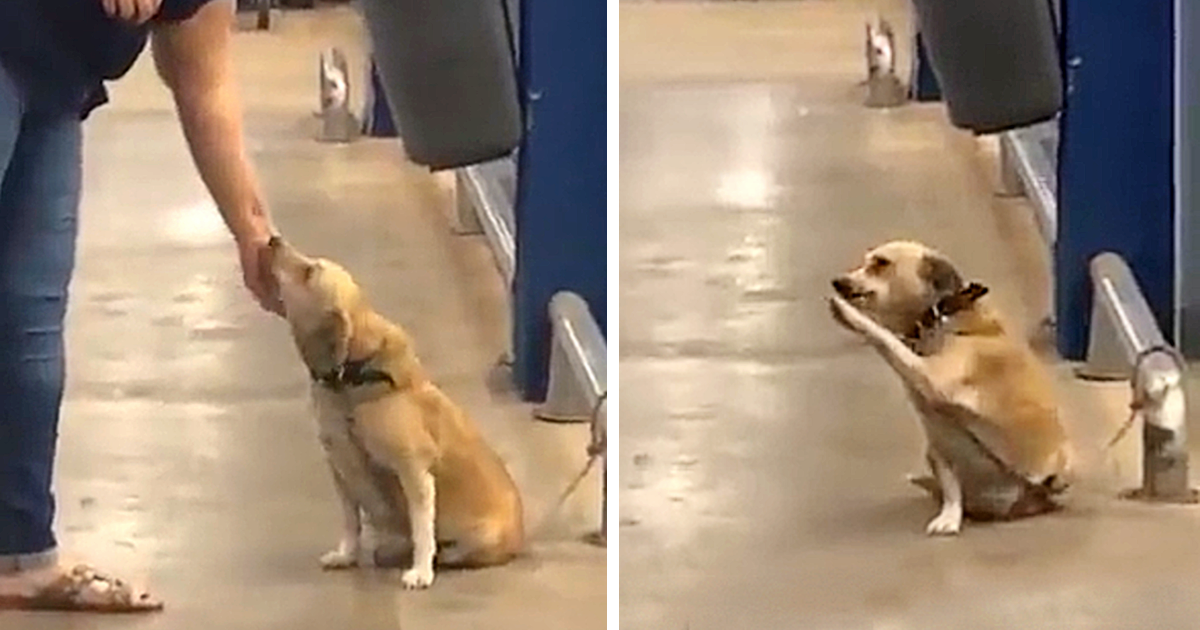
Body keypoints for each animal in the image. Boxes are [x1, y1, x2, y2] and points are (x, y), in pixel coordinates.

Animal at [830, 238, 1075, 532]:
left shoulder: (934, 378)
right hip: (934, 452)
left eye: (881, 263)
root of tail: (1003, 508)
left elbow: (885, 338)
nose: (838, 282)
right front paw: (949, 517)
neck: (939, 318)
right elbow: (950, 486)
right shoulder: (939, 440)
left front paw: (851, 315)